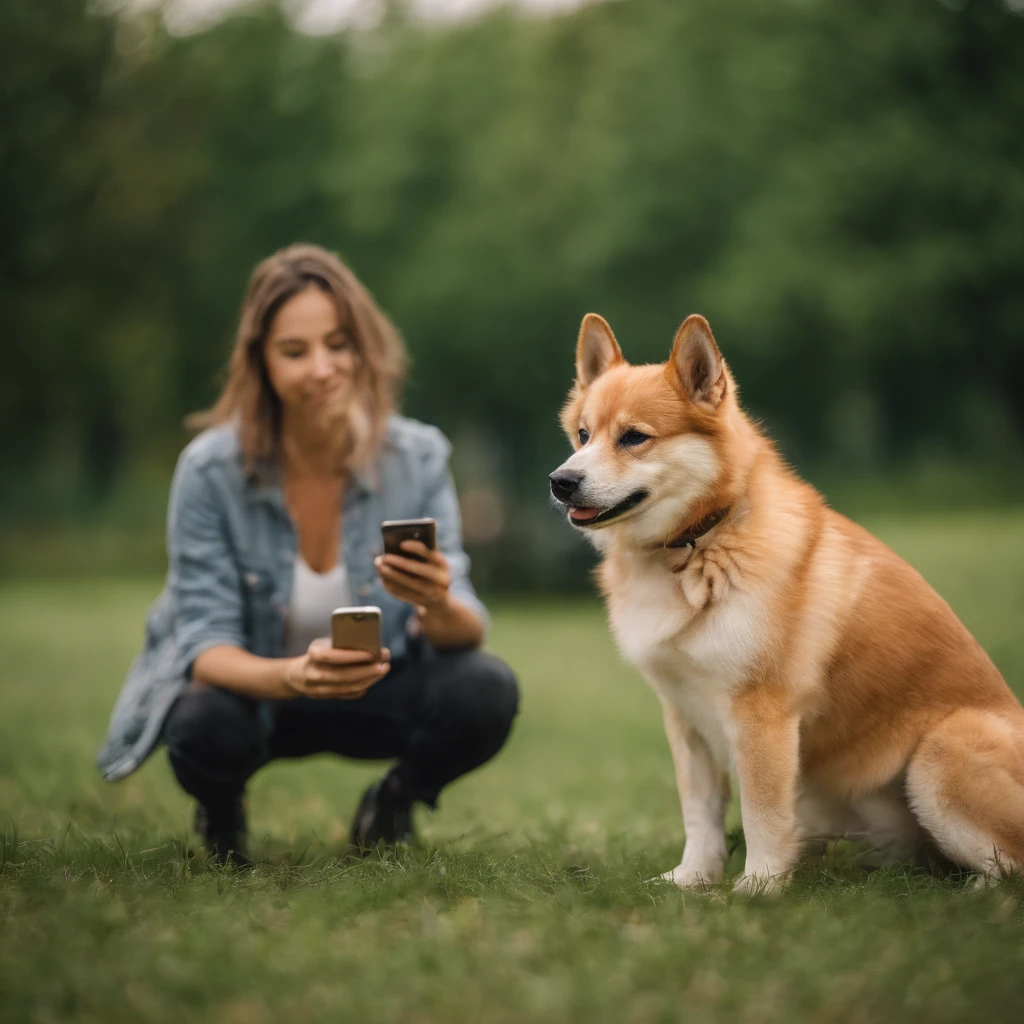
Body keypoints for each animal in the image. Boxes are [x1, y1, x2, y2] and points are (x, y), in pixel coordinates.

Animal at [552, 311, 1024, 888]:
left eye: (634, 437)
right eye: (583, 435)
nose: (560, 481)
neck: (701, 541)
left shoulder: (762, 715)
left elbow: (764, 815)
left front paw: (757, 888)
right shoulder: (685, 716)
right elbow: (701, 813)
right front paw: (693, 880)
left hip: (938, 757)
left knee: (1009, 863)